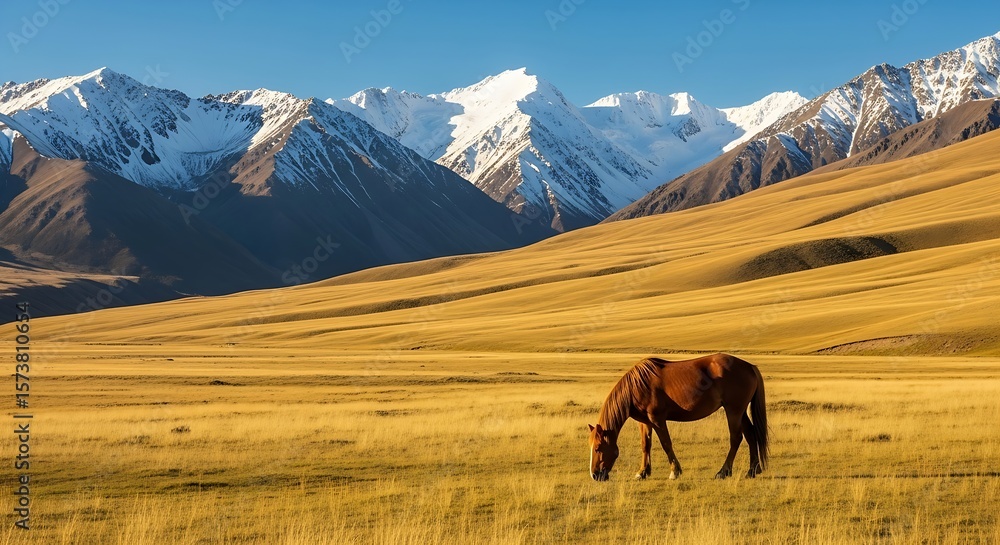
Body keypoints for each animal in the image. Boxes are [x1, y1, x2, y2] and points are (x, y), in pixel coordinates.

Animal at [587, 353, 768, 481]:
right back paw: (752, 470)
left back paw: (724, 471)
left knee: (736, 438)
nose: (595, 475)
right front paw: (642, 472)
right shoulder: (644, 422)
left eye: (597, 448)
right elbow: (646, 445)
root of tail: (749, 366)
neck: (636, 387)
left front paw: (675, 471)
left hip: (733, 411)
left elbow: (666, 444)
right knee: (750, 435)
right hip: (740, 412)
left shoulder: (657, 419)